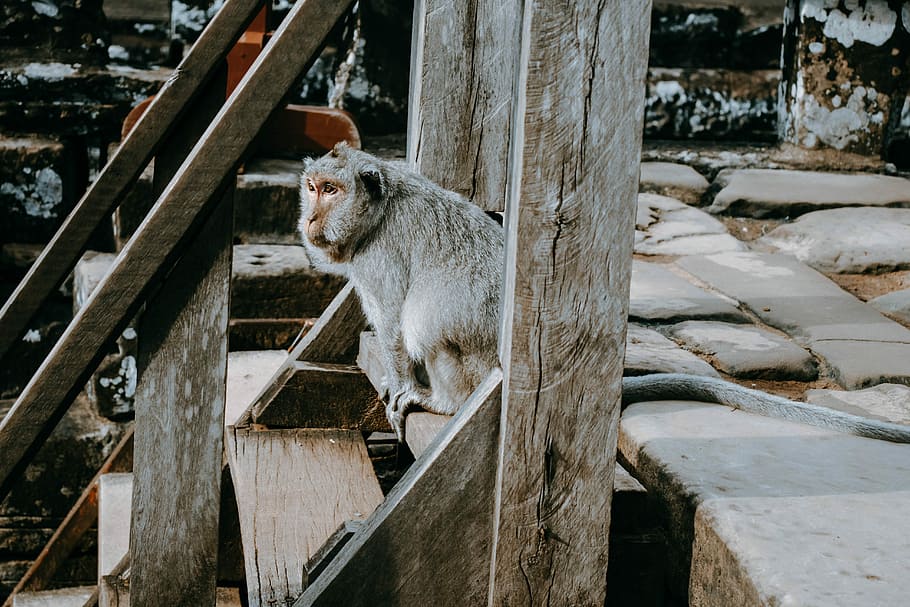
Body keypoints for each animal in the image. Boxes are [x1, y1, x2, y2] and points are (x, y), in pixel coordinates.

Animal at [300, 143, 910, 445]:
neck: (377, 212)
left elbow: (396, 322)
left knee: (430, 323)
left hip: (472, 367)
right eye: (311, 186)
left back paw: (444, 401)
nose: (309, 217)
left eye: (331, 190)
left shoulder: (379, 257)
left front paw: (403, 384)